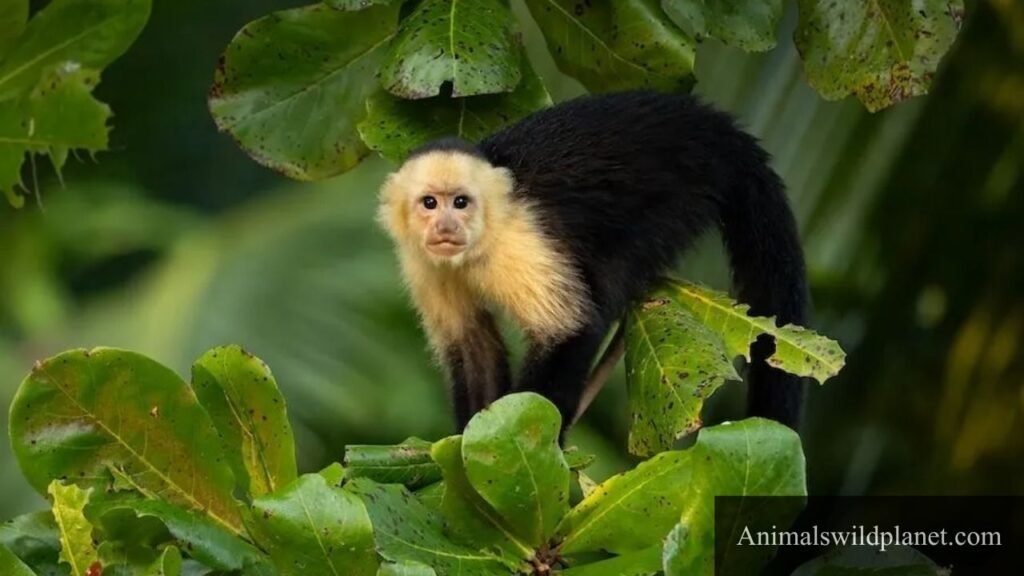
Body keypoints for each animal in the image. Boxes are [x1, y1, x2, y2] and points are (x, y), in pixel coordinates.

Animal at [377, 91, 808, 437]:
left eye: (461, 202)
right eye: (430, 203)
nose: (446, 226)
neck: (480, 245)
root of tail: (712, 127)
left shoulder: (519, 241)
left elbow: (571, 328)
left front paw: (532, 433)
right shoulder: (423, 264)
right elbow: (473, 347)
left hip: (681, 193)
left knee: (608, 276)